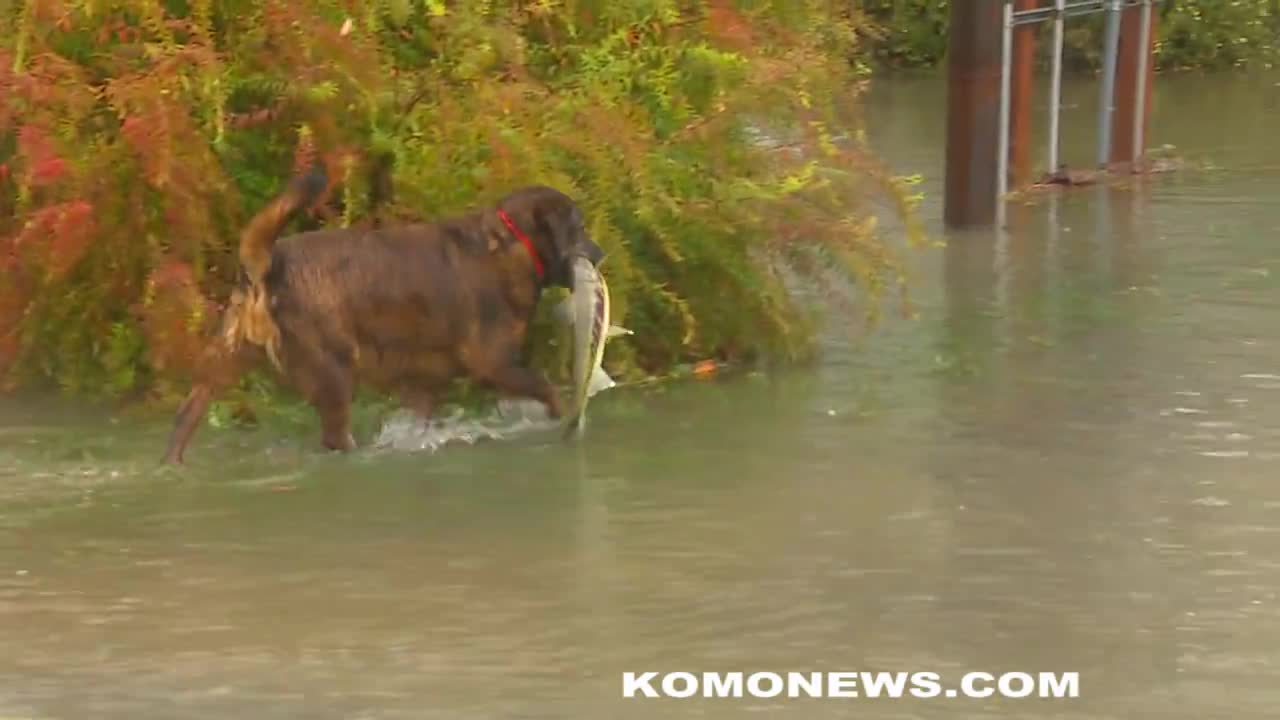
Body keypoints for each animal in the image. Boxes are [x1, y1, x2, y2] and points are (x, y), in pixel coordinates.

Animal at [161, 159, 604, 461]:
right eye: (579, 228)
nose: (600, 254)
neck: (512, 244)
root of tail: (269, 265)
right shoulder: (492, 362)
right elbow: (546, 386)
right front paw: (566, 419)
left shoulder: (422, 382)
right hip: (334, 373)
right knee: (334, 435)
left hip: (223, 360)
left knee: (185, 416)